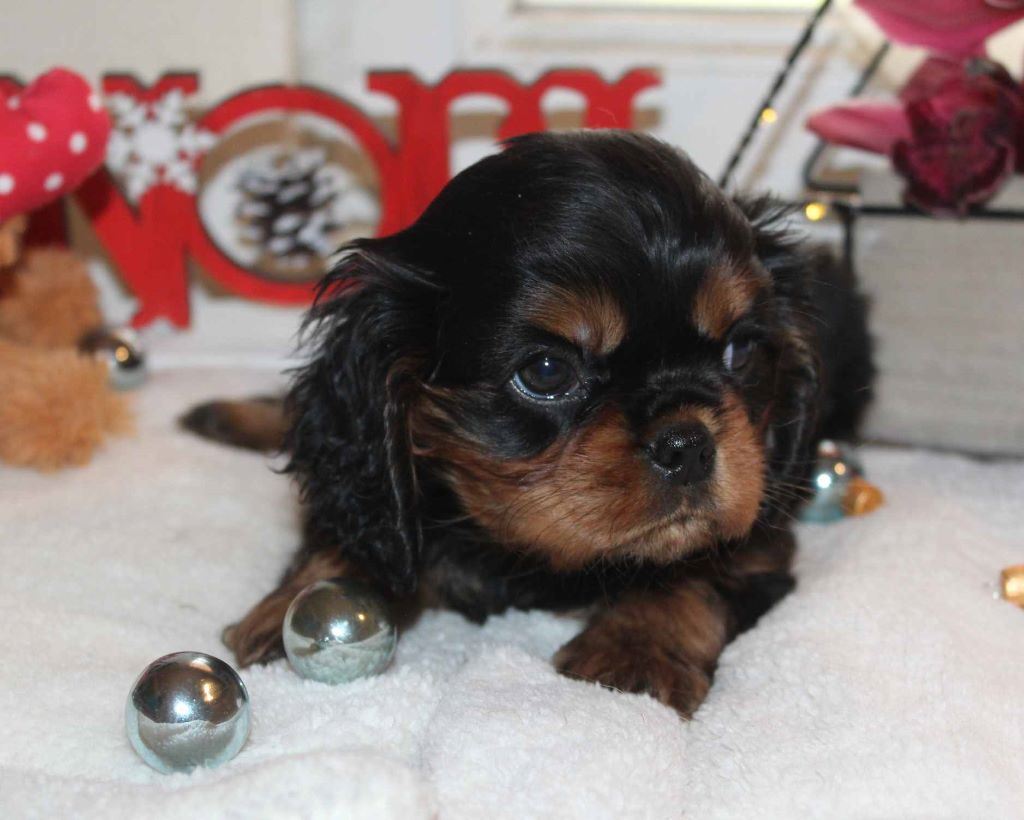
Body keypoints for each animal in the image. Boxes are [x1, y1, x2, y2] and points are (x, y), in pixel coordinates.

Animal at [183, 130, 873, 717]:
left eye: (741, 351)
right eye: (546, 371)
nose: (688, 444)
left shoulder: (760, 521)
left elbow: (693, 566)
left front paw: (636, 650)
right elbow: (354, 521)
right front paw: (293, 606)